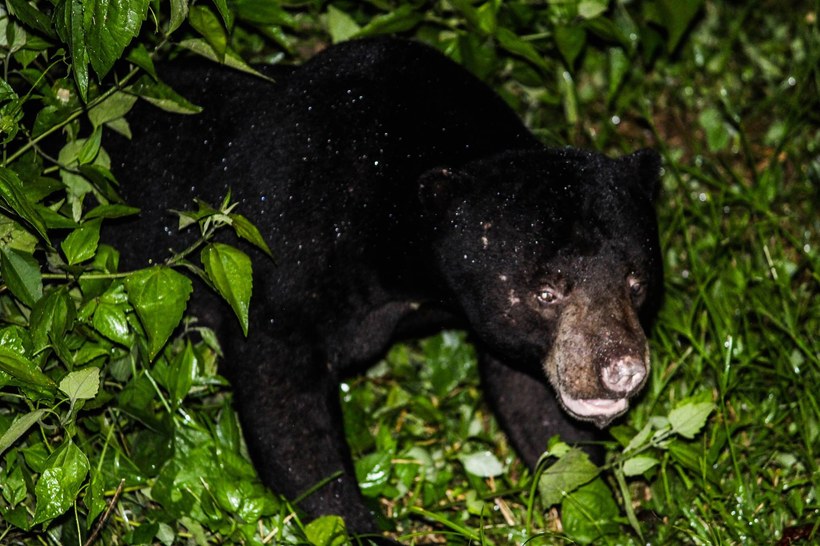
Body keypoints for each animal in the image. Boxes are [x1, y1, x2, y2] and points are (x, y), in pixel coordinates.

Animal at [104, 37, 662, 538]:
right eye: (546, 293)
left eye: (636, 282)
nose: (622, 370)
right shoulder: (280, 255)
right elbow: (284, 403)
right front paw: (353, 524)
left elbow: (532, 399)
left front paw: (593, 501)